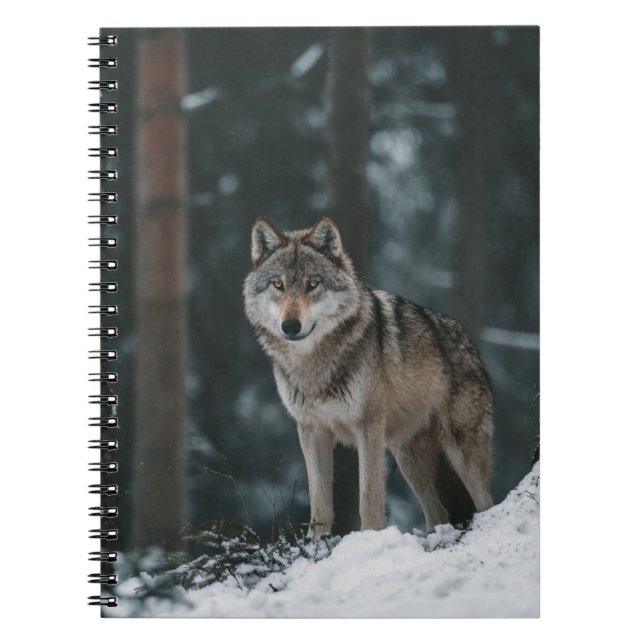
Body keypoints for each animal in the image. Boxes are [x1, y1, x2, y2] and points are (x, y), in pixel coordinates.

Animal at [243, 217, 493, 536]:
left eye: (313, 284)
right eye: (278, 284)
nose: (290, 325)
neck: (314, 365)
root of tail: (469, 343)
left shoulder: (368, 426)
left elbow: (369, 499)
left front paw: (369, 538)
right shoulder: (311, 429)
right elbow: (319, 504)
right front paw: (315, 544)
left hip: (462, 453)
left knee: (486, 504)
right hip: (410, 458)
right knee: (437, 514)